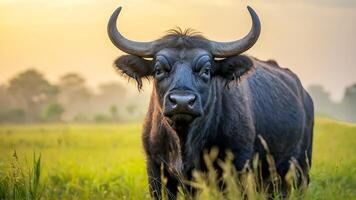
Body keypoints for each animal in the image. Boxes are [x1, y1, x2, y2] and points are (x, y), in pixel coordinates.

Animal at [107, 5, 312, 199]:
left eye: (206, 70)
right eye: (159, 70)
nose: (182, 102)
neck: (185, 141)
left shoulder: (237, 166)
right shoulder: (156, 168)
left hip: (301, 166)